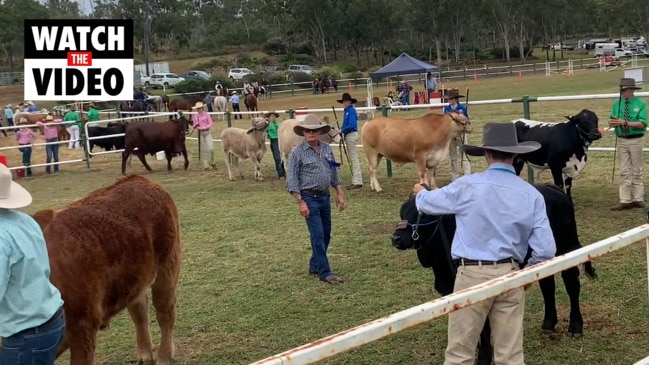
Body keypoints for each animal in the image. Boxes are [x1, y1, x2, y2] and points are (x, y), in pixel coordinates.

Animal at [32, 174, 181, 364]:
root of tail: (138, 179)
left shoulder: (82, 328)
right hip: (134, 276)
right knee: (139, 310)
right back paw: (145, 355)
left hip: (167, 266)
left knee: (164, 311)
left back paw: (164, 356)